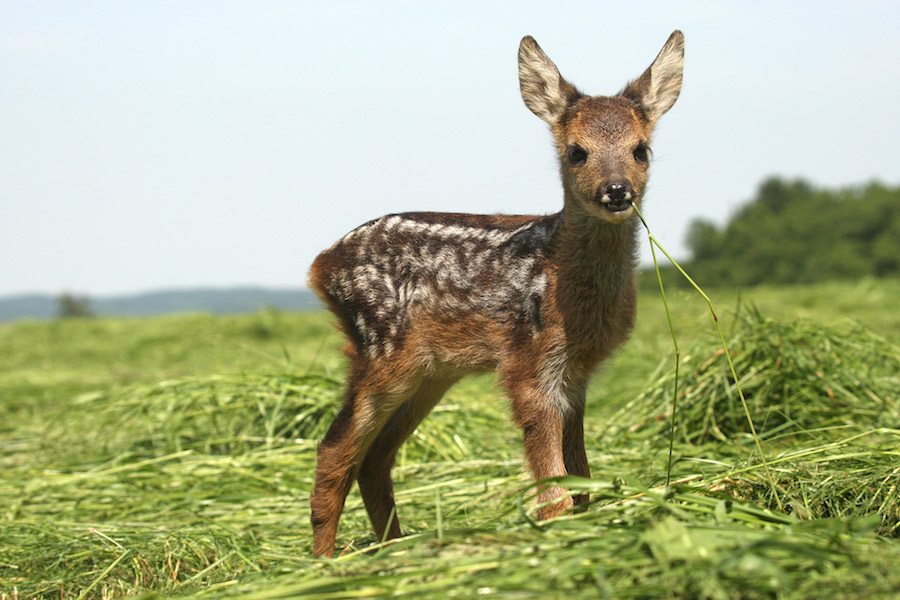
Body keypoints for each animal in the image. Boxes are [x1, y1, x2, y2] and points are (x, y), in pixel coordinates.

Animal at [308, 31, 684, 556]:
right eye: (577, 151)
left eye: (641, 149)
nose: (616, 190)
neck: (560, 273)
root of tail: (321, 265)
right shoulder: (529, 364)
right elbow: (555, 491)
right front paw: (557, 536)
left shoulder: (576, 376)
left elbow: (582, 480)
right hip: (381, 349)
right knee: (334, 450)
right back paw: (324, 562)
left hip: (430, 374)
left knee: (374, 458)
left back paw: (397, 549)